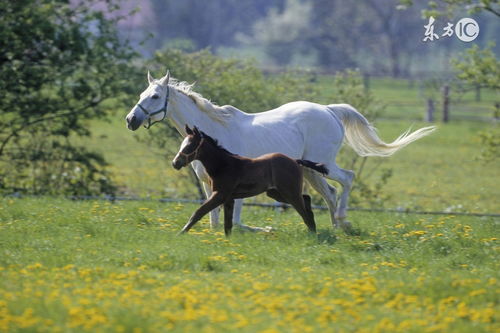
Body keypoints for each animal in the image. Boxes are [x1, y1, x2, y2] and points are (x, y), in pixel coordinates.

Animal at [172, 124, 328, 236]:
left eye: (190, 146)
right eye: (182, 144)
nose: (175, 163)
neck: (223, 165)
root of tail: (295, 161)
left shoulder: (220, 194)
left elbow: (198, 212)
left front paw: (181, 233)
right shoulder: (229, 198)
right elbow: (227, 223)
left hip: (289, 192)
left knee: (303, 210)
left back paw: (312, 233)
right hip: (276, 193)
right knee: (306, 199)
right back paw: (313, 230)